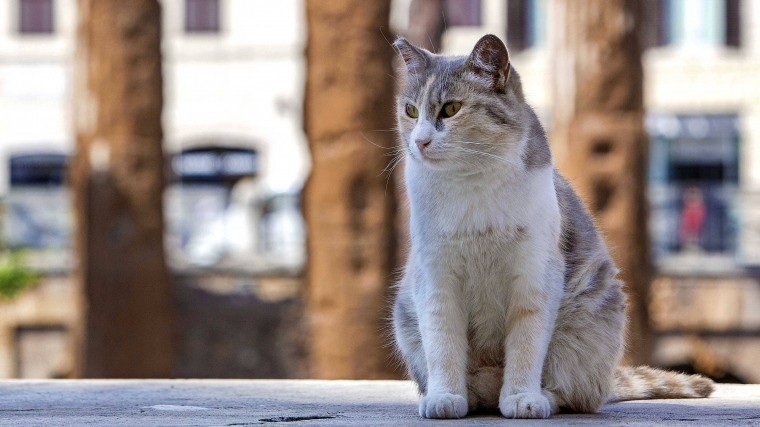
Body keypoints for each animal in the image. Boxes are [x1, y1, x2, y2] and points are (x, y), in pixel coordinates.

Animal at [392, 34, 712, 422]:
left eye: (451, 109)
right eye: (411, 111)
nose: (419, 141)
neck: (470, 185)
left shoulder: (535, 274)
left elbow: (526, 344)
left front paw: (522, 398)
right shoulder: (435, 277)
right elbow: (442, 343)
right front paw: (445, 397)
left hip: (587, 322)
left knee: (577, 394)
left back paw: (542, 396)